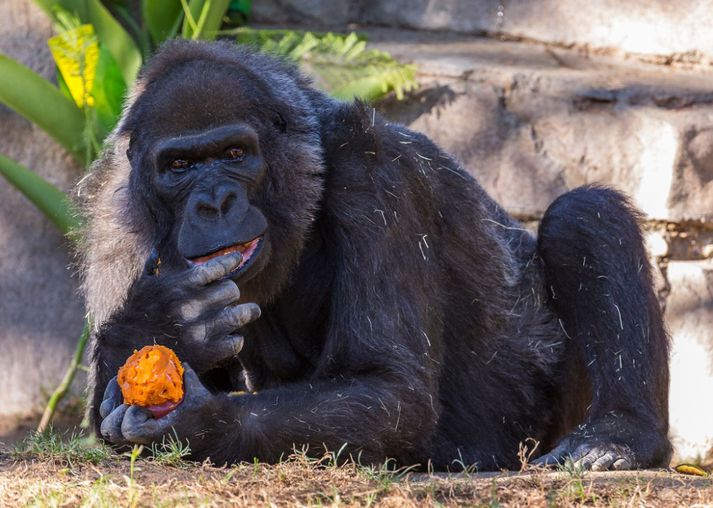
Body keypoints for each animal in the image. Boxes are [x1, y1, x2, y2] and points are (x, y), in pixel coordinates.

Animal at [76, 39, 668, 472]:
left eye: (235, 154)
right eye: (179, 166)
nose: (215, 202)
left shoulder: (377, 170)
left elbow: (389, 389)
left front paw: (206, 422)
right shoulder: (114, 218)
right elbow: (104, 409)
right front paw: (168, 322)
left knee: (582, 217)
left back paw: (619, 437)